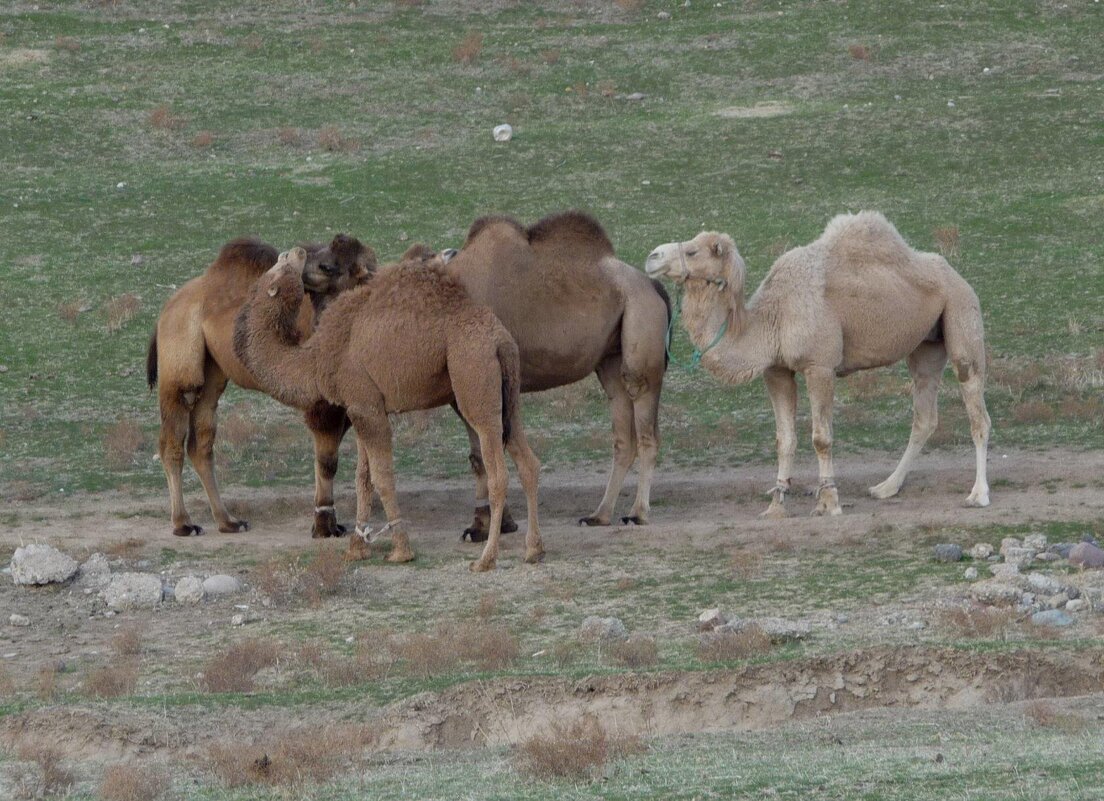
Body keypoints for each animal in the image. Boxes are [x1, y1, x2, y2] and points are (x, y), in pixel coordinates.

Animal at [144, 237, 377, 540]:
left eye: (327, 266)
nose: (298, 255)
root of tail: (167, 309)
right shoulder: (319, 402)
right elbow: (327, 460)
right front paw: (324, 527)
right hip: (180, 363)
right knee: (172, 440)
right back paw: (183, 524)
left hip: (214, 373)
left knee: (201, 443)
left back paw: (229, 521)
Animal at [232, 249, 543, 569]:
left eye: (281, 262)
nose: (297, 251)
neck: (316, 358)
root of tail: (499, 338)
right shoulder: (360, 405)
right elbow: (362, 478)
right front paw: (357, 547)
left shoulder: (366, 407)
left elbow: (382, 478)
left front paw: (401, 550)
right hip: (508, 394)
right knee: (528, 462)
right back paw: (533, 550)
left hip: (473, 375)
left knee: (498, 473)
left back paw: (485, 559)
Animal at [644, 210, 993, 518]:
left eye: (692, 250)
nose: (652, 256)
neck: (771, 318)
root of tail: (957, 276)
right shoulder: (777, 370)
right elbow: (785, 440)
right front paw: (776, 505)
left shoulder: (820, 366)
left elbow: (821, 438)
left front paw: (829, 502)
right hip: (926, 345)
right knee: (924, 415)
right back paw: (885, 487)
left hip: (961, 311)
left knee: (977, 410)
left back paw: (978, 494)